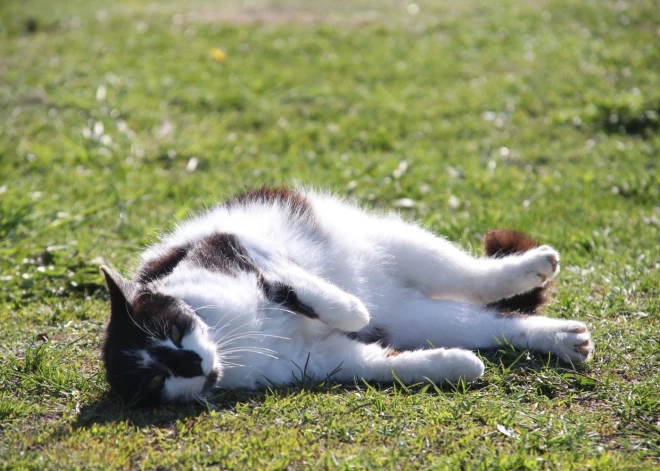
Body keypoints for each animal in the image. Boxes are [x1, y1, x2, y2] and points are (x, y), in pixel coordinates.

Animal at [100, 188, 596, 406]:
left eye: (173, 329)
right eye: (154, 380)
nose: (193, 364)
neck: (228, 338)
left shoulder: (232, 244)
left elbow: (312, 294)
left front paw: (351, 311)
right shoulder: (316, 360)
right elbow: (383, 364)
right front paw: (454, 367)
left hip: (400, 244)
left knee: (473, 276)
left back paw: (531, 266)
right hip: (417, 317)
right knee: (493, 325)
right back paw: (561, 338)